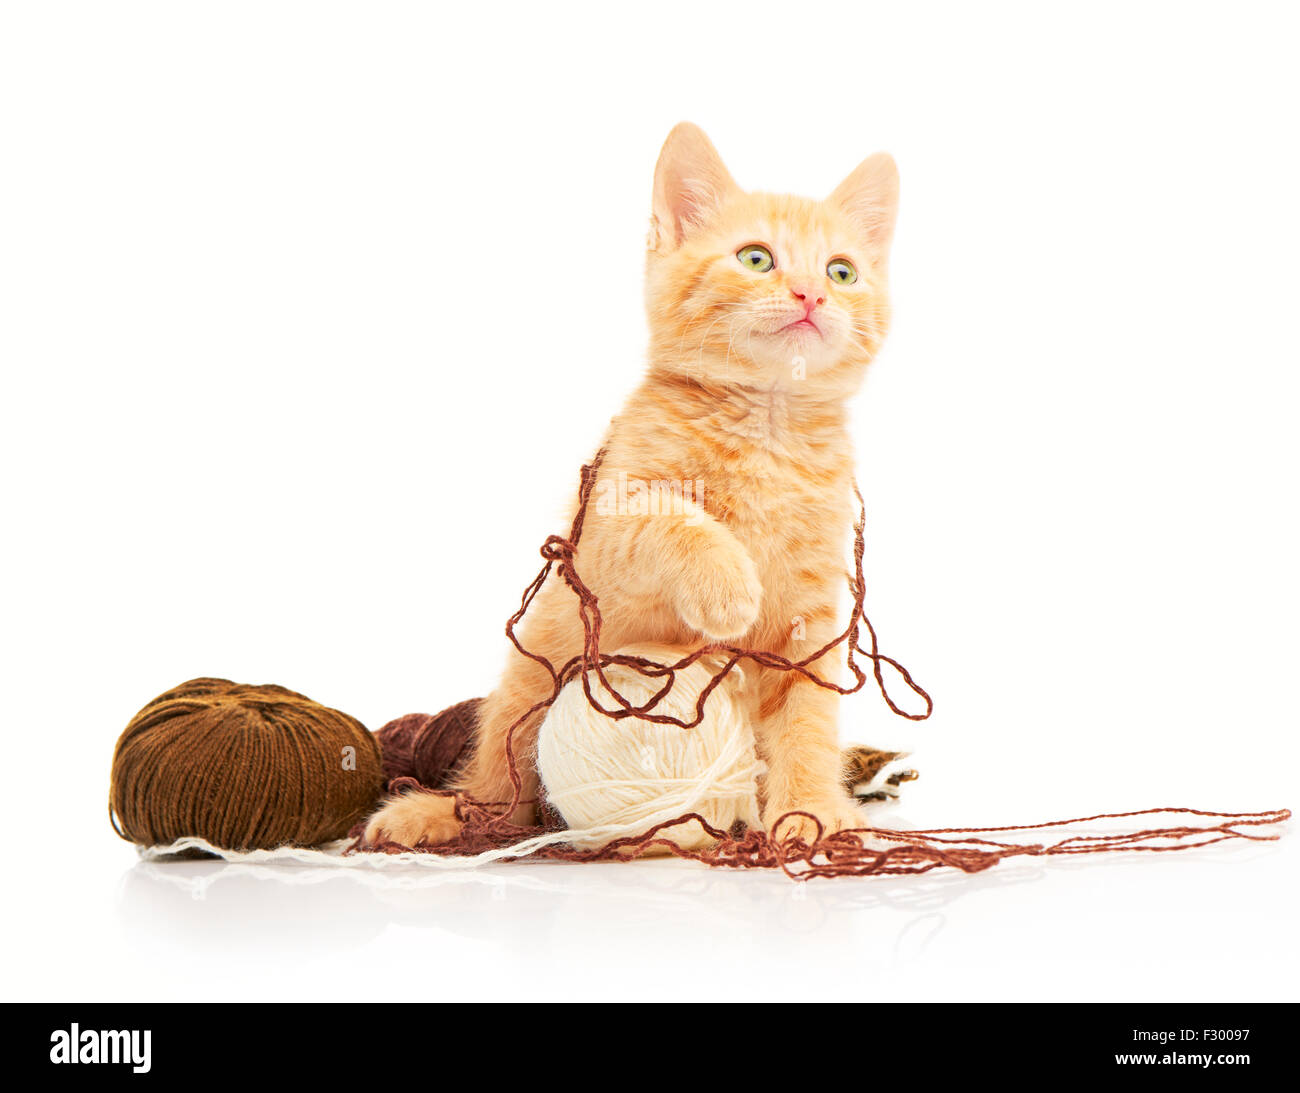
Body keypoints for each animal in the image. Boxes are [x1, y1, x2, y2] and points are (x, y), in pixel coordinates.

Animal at [361, 123, 899, 847]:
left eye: (842, 272)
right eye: (757, 259)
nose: (812, 294)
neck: (767, 423)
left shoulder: (814, 617)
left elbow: (809, 717)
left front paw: (810, 809)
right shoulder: (599, 538)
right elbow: (670, 521)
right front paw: (729, 585)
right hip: (530, 678)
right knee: (501, 790)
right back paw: (441, 813)